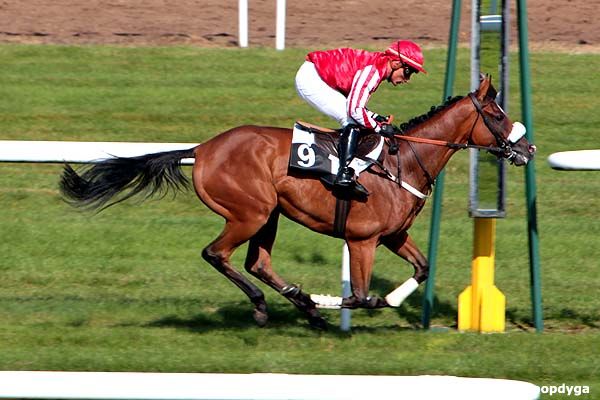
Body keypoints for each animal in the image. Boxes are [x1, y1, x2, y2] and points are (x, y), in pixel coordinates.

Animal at [59, 76, 536, 328]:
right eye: (496, 115)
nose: (527, 148)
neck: (403, 161)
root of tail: (203, 148)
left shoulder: (394, 235)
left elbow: (421, 268)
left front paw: (380, 301)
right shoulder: (362, 240)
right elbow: (360, 296)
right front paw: (331, 301)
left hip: (269, 214)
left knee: (257, 263)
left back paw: (300, 304)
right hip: (249, 213)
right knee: (217, 254)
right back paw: (270, 306)